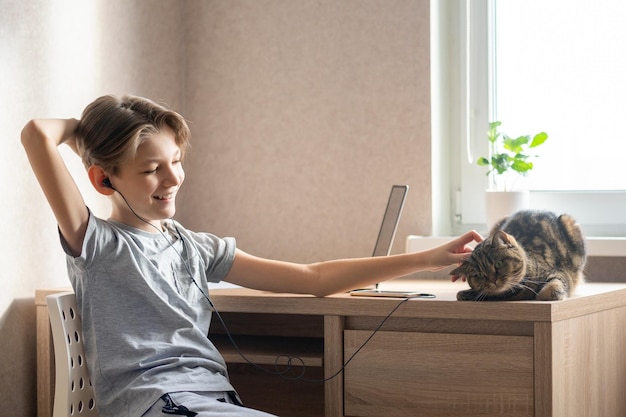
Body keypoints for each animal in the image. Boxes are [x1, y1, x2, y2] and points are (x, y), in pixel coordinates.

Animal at [448, 210, 584, 300]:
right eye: (479, 275)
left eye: (498, 264)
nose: (493, 281)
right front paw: (468, 293)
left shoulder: (560, 272)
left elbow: (552, 288)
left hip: (569, 223)